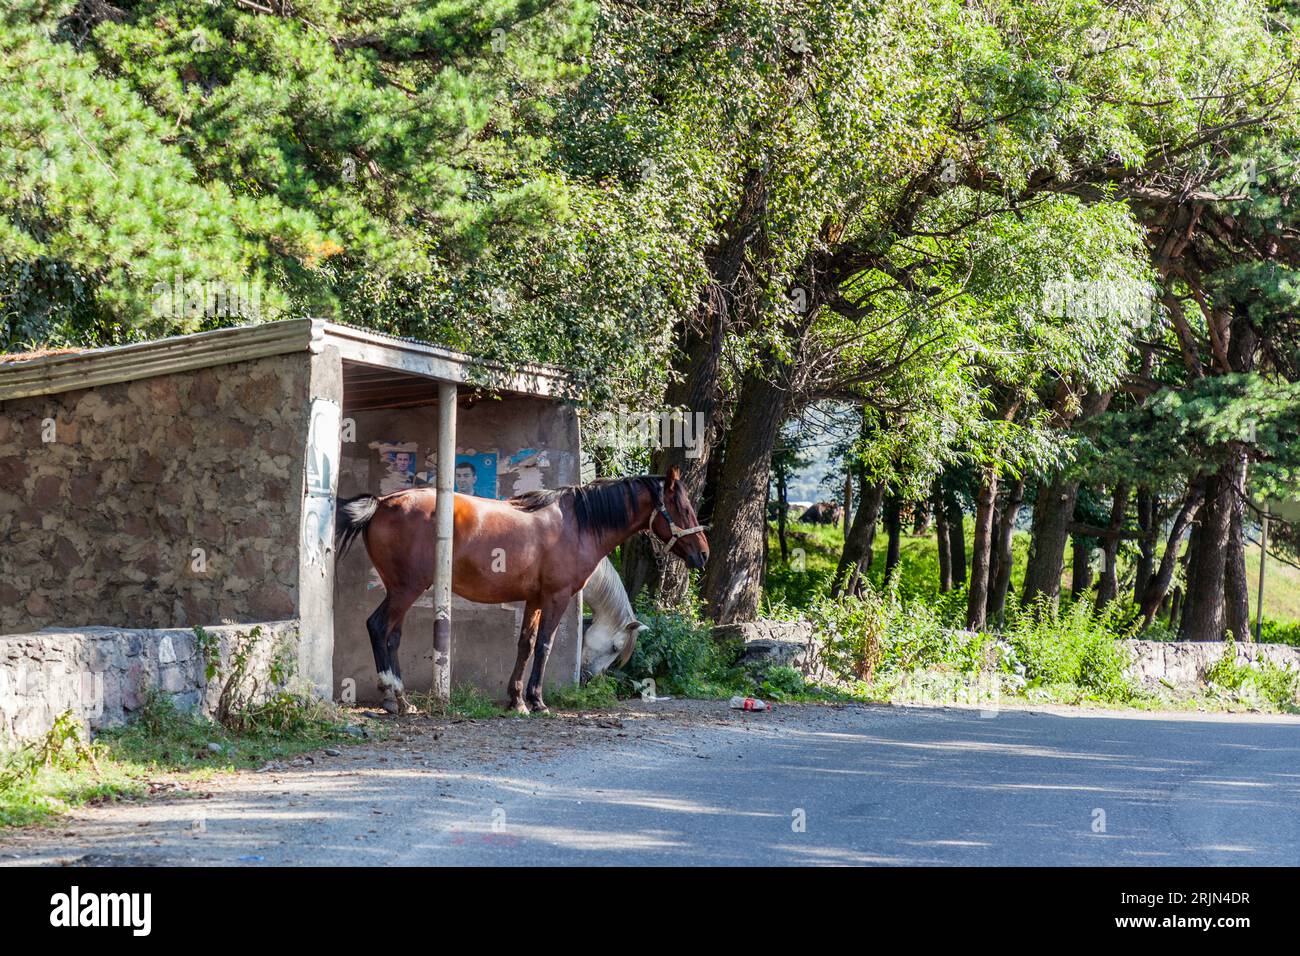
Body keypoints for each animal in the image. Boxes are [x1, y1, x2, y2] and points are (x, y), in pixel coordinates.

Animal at [335, 467, 708, 714]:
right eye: (684, 508)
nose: (703, 554)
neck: (578, 524)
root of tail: (382, 502)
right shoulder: (556, 597)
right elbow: (544, 646)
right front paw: (537, 700)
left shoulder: (534, 600)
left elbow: (525, 645)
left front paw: (516, 700)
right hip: (406, 590)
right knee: (378, 627)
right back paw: (395, 696)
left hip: (399, 590)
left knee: (392, 637)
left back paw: (397, 699)